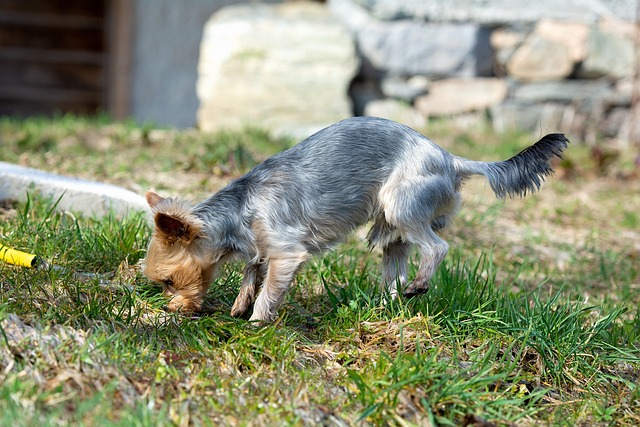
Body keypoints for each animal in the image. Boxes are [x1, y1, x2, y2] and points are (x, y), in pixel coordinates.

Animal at [142, 115, 568, 322]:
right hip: (391, 232)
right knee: (394, 271)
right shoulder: (262, 246)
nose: (169, 308)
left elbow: (269, 290)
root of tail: (451, 159)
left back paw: (419, 284)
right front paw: (239, 304)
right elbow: (252, 270)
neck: (239, 207)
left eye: (168, 281)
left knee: (437, 247)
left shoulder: (286, 252)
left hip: (402, 206)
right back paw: (385, 306)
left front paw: (255, 324)